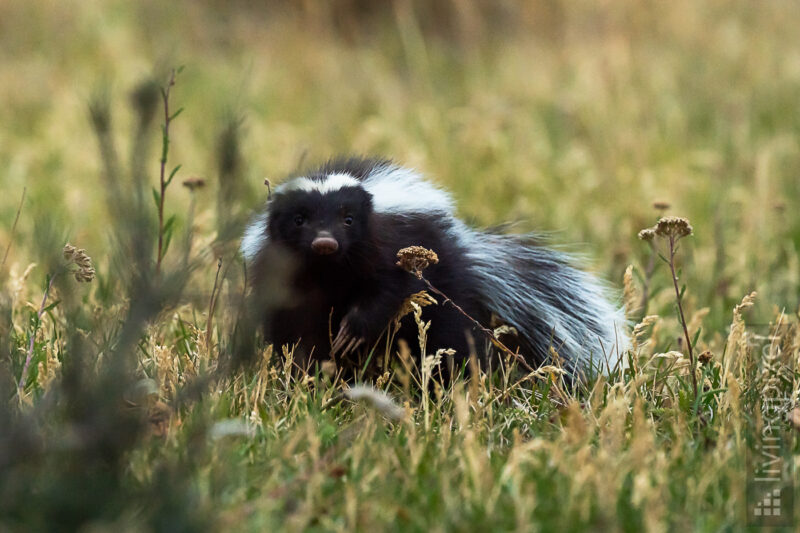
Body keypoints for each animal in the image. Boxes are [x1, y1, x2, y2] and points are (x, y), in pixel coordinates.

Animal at [241, 156, 628, 376]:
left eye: (348, 219)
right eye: (300, 220)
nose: (325, 242)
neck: (330, 270)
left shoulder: (394, 246)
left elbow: (392, 289)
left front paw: (354, 329)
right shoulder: (283, 275)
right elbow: (298, 329)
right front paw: (308, 371)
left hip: (444, 284)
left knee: (449, 334)